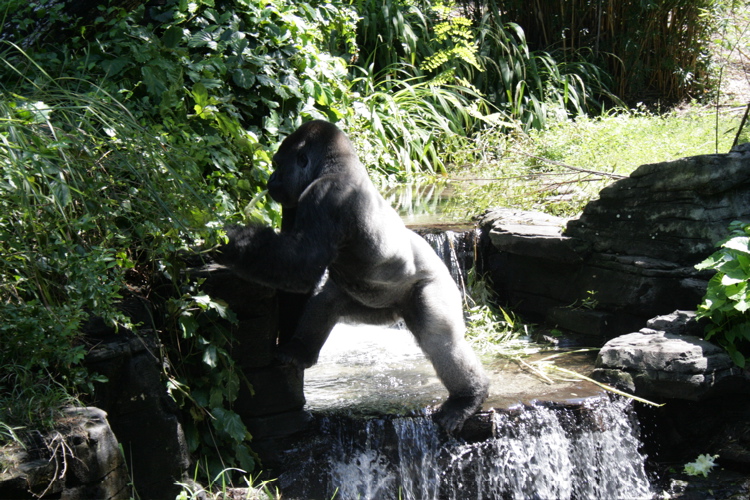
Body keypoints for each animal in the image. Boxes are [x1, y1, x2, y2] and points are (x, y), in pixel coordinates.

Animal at [219, 119, 494, 432]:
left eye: (278, 163)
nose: (271, 179)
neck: (334, 165)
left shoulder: (327, 194)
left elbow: (301, 266)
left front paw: (232, 243)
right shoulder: (294, 202)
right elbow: (294, 275)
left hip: (437, 284)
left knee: (440, 340)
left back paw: (468, 397)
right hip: (376, 309)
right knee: (326, 302)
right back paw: (302, 350)